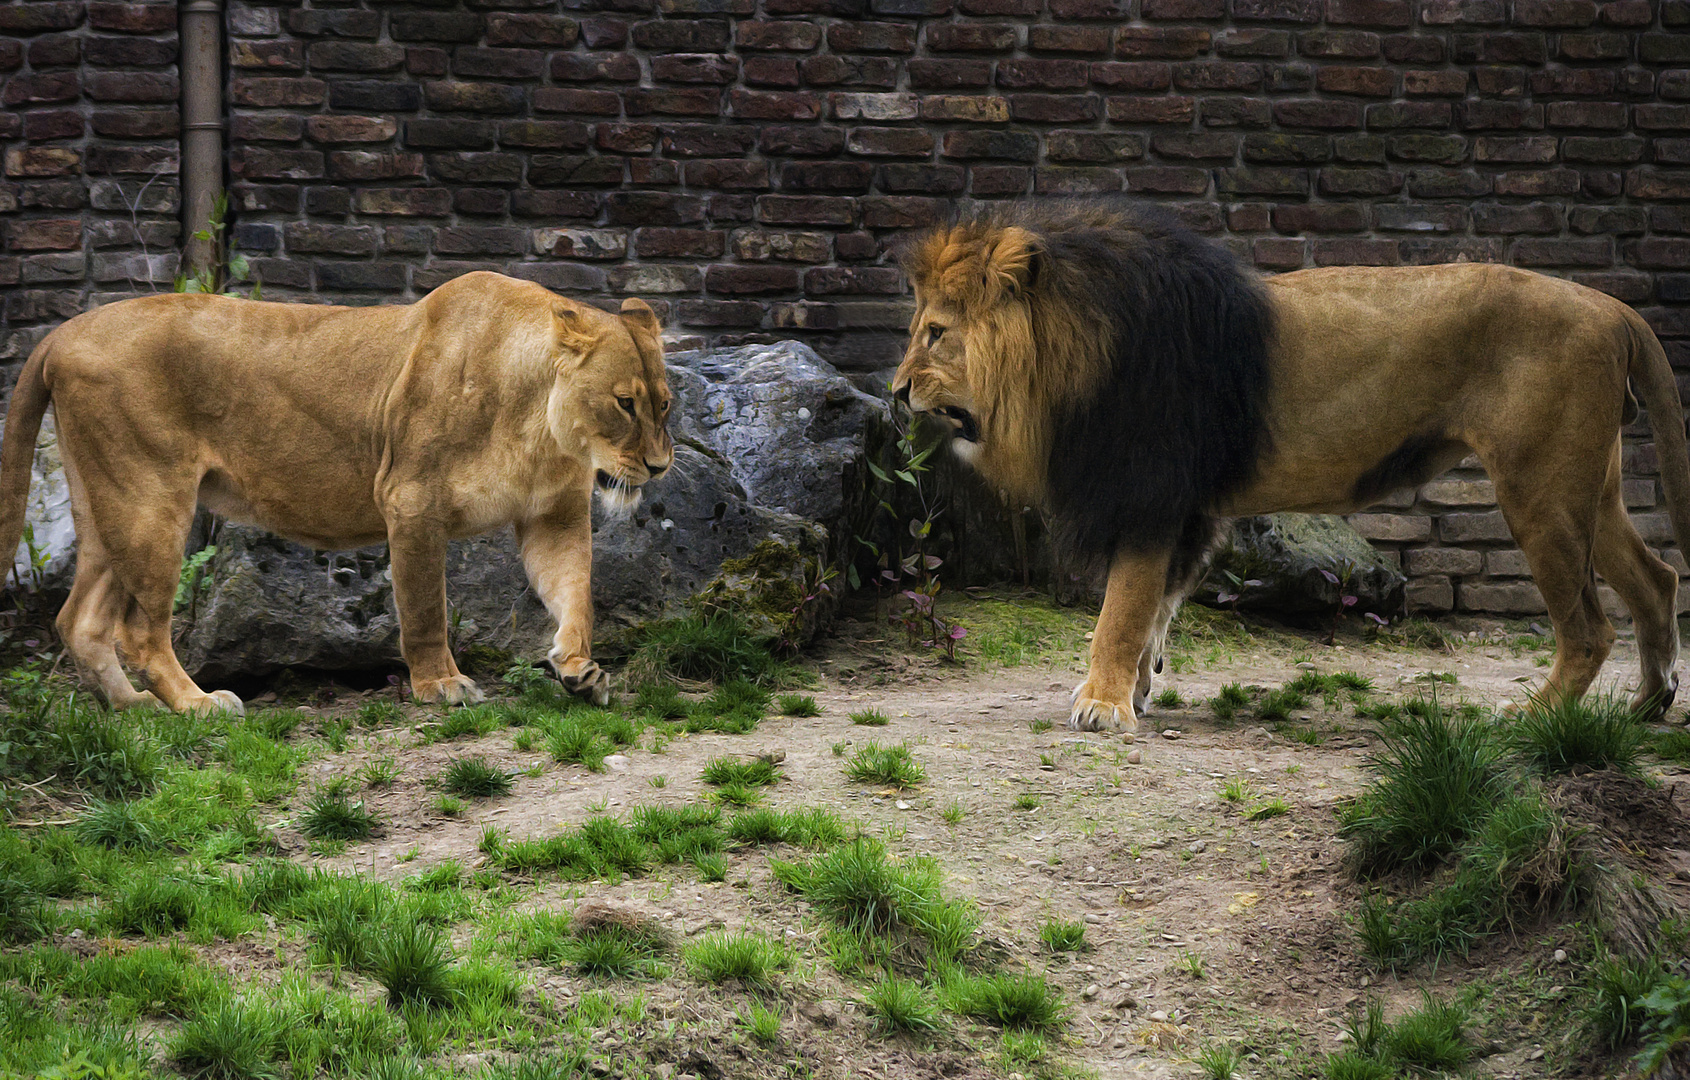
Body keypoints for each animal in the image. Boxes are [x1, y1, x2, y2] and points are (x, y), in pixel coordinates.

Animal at [0, 270, 672, 713]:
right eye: (624, 402)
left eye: (665, 404)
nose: (661, 466)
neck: (540, 428)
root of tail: (63, 331)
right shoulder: (410, 500)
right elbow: (424, 607)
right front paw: (441, 686)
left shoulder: (553, 517)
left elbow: (576, 595)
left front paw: (581, 671)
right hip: (150, 502)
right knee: (139, 632)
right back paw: (198, 706)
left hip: (106, 505)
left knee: (81, 620)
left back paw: (136, 710)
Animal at [899, 199, 1690, 740]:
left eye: (936, 334)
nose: (898, 391)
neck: (1073, 350)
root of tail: (1613, 306)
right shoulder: (1190, 508)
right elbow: (1157, 608)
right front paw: (1140, 689)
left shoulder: (1152, 492)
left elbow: (1122, 608)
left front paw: (1102, 704)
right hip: (1587, 486)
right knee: (1657, 579)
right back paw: (1648, 705)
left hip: (1538, 488)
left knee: (1590, 628)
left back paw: (1533, 721)